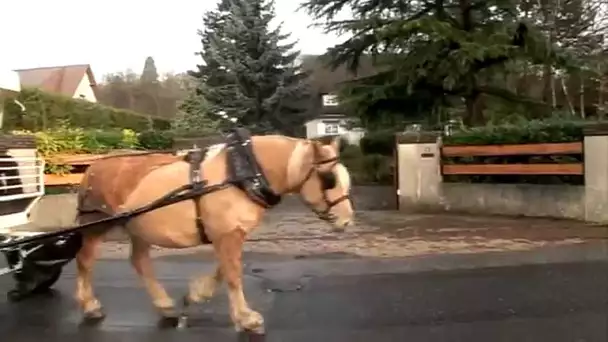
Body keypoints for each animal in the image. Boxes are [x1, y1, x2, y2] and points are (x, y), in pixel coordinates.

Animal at [73, 130, 354, 332]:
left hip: (140, 227)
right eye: (329, 180)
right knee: (86, 261)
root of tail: (93, 167)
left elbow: (225, 269)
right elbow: (233, 274)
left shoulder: (229, 234)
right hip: (97, 224)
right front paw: (246, 318)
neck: (241, 174)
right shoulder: (227, 235)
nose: (347, 221)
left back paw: (164, 305)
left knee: (139, 261)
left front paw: (198, 294)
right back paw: (90, 305)